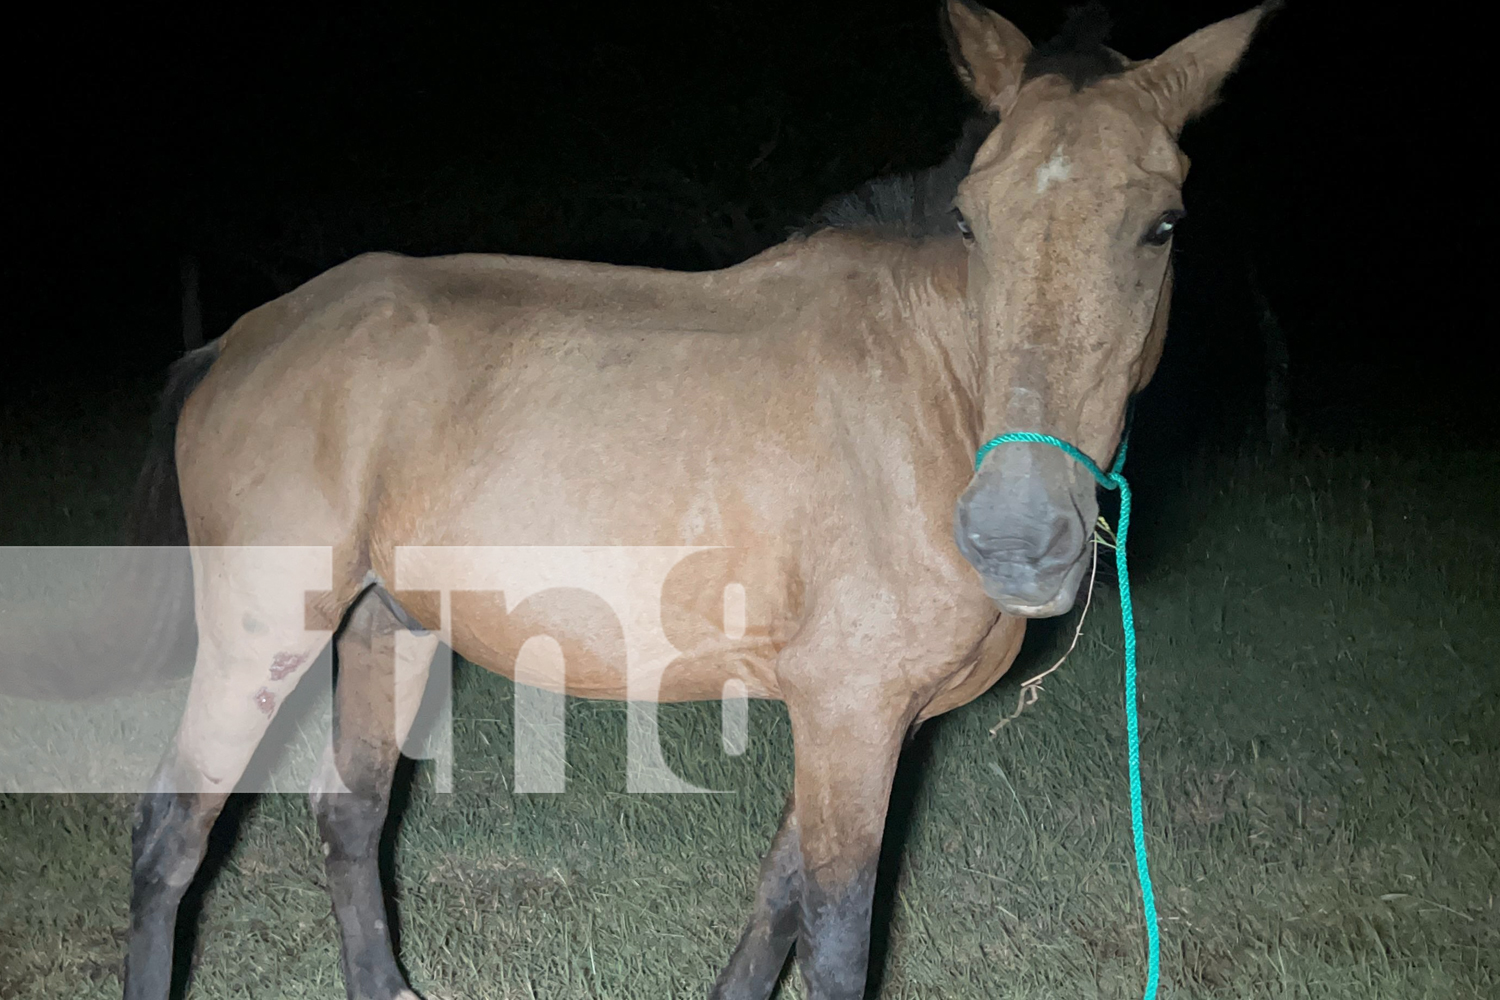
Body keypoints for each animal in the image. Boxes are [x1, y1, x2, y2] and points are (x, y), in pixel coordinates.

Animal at [126, 3, 1278, 995]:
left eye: (1163, 224)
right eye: (969, 219)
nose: (1016, 535)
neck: (932, 388)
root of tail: (240, 337)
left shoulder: (857, 723)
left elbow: (776, 906)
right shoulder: (852, 717)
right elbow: (834, 940)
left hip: (388, 625)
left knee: (349, 815)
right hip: (264, 636)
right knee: (169, 837)